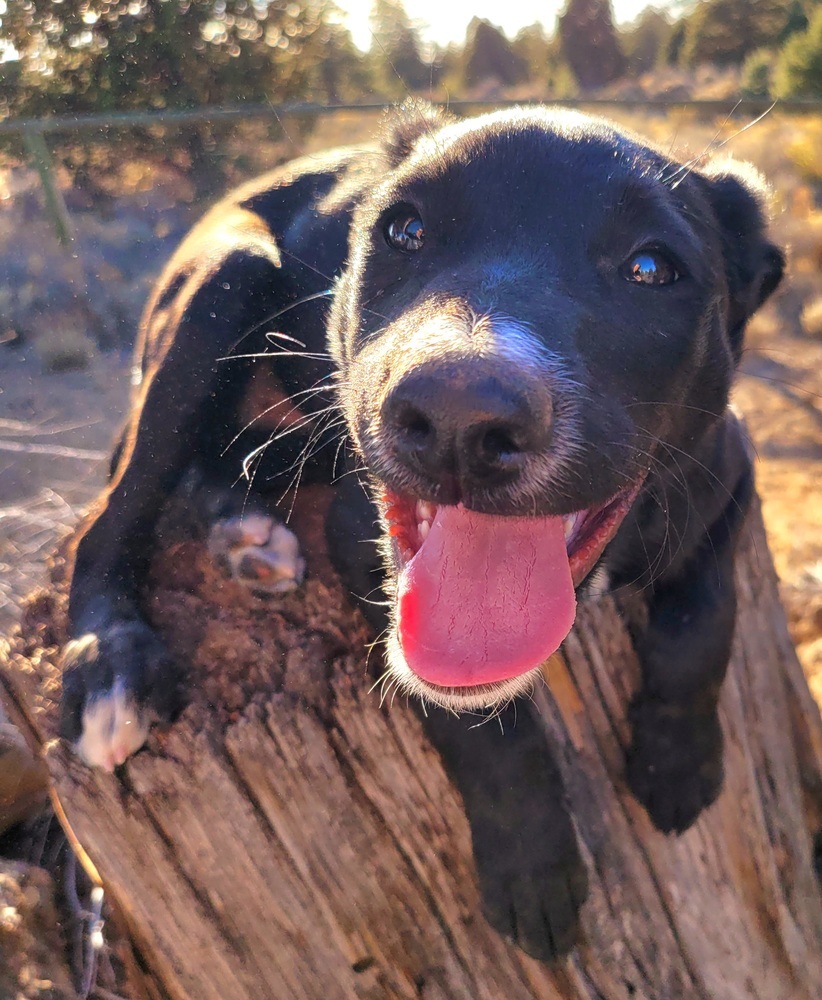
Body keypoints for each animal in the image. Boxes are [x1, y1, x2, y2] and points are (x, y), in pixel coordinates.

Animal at [59, 101, 784, 960]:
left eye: (651, 268)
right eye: (404, 230)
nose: (457, 417)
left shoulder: (729, 472)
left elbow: (703, 617)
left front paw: (680, 763)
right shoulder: (359, 539)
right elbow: (476, 725)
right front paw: (531, 866)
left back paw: (244, 534)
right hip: (218, 287)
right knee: (114, 511)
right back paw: (110, 662)